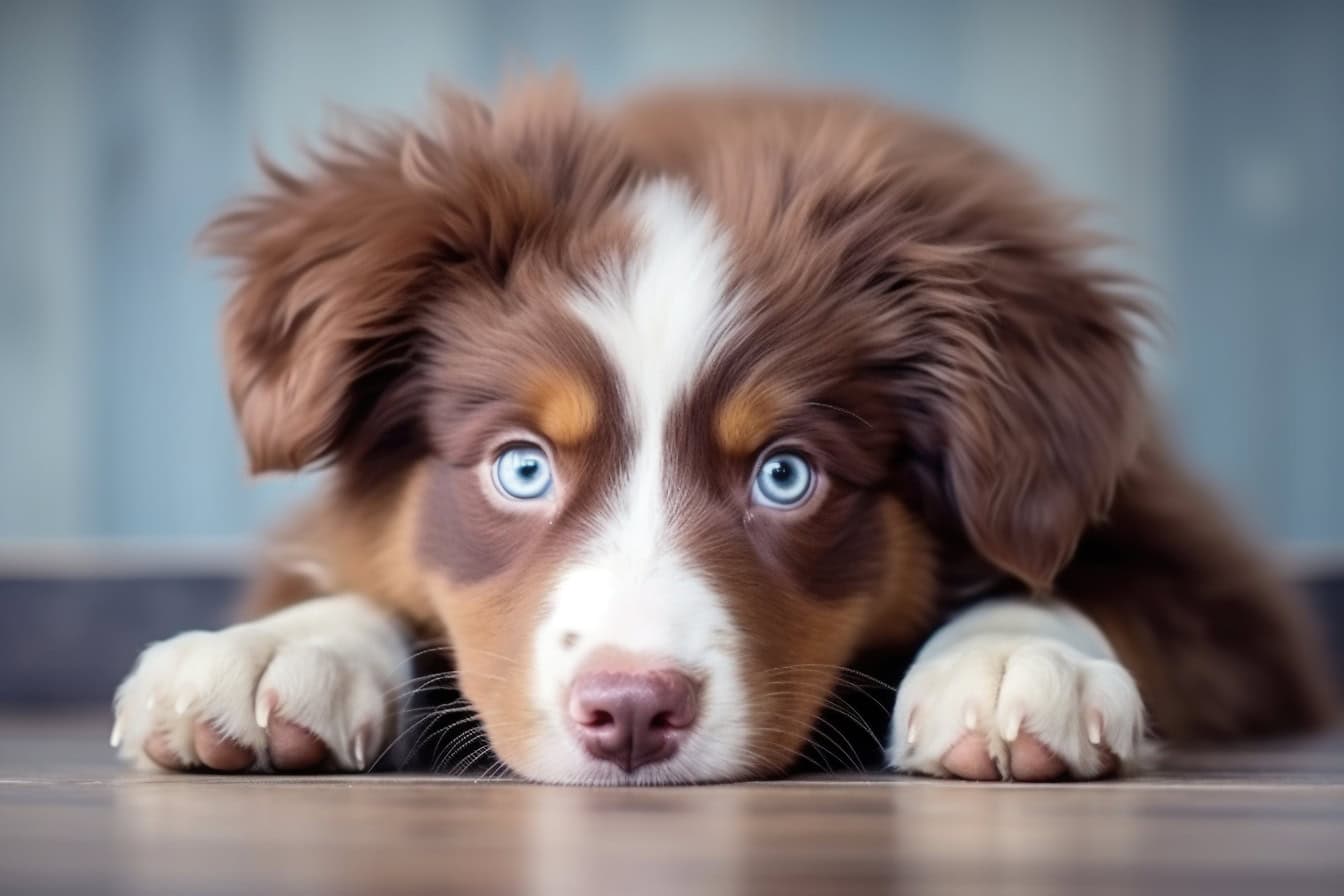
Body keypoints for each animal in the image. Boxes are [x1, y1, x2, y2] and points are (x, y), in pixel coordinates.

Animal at [110, 82, 1338, 784]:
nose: (632, 712)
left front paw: (1011, 659)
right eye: (521, 467)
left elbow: (1070, 582)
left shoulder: (1217, 585)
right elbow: (361, 581)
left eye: (787, 474)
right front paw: (274, 649)